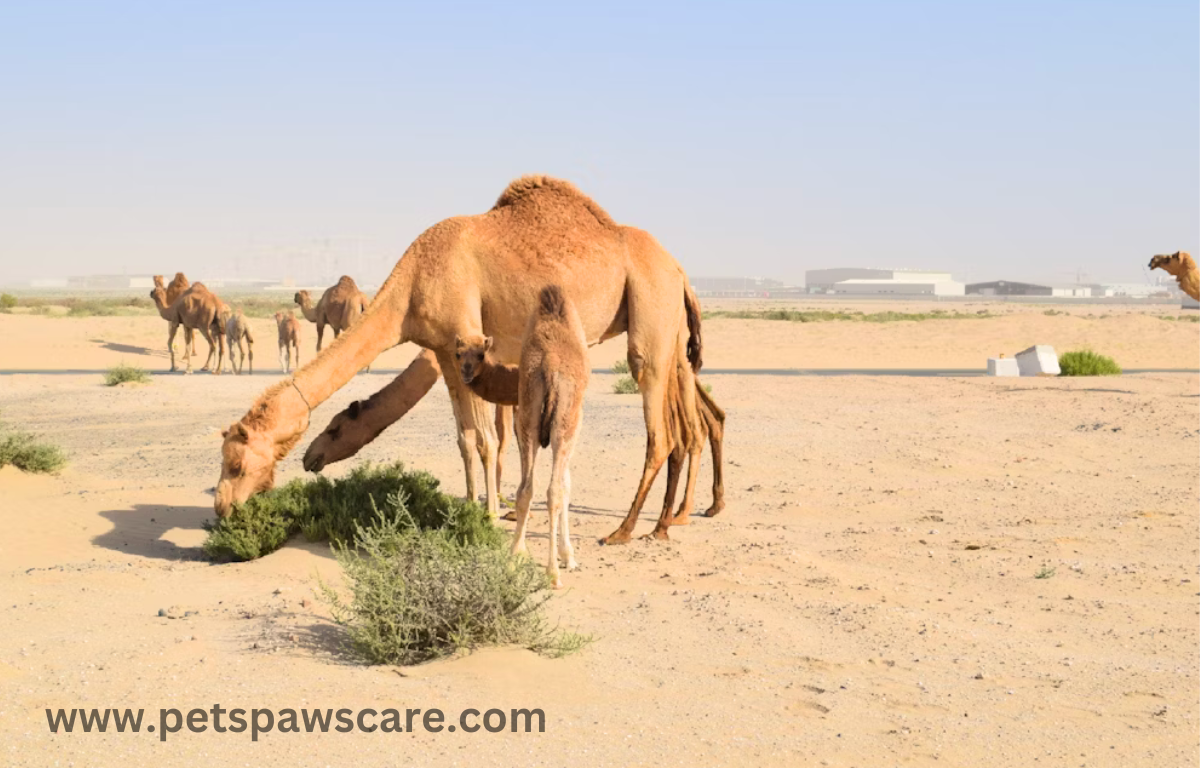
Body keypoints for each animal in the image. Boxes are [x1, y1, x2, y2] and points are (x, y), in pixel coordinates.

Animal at [216, 175, 700, 547]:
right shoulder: (446, 354)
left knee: (658, 427)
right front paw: (468, 506)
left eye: (236, 464)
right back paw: (662, 524)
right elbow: (465, 440)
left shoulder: (470, 340)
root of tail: (679, 267)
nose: (222, 507)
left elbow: (486, 440)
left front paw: (489, 515)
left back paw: (624, 531)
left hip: (650, 308)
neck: (410, 288)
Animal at [453, 286, 585, 588]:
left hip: (529, 423)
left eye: (479, 354)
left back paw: (514, 556)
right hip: (563, 424)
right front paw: (568, 556)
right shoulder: (574, 425)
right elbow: (566, 485)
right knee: (551, 490)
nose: (466, 371)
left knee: (526, 488)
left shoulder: (520, 416)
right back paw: (553, 572)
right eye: (458, 354)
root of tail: (549, 367)